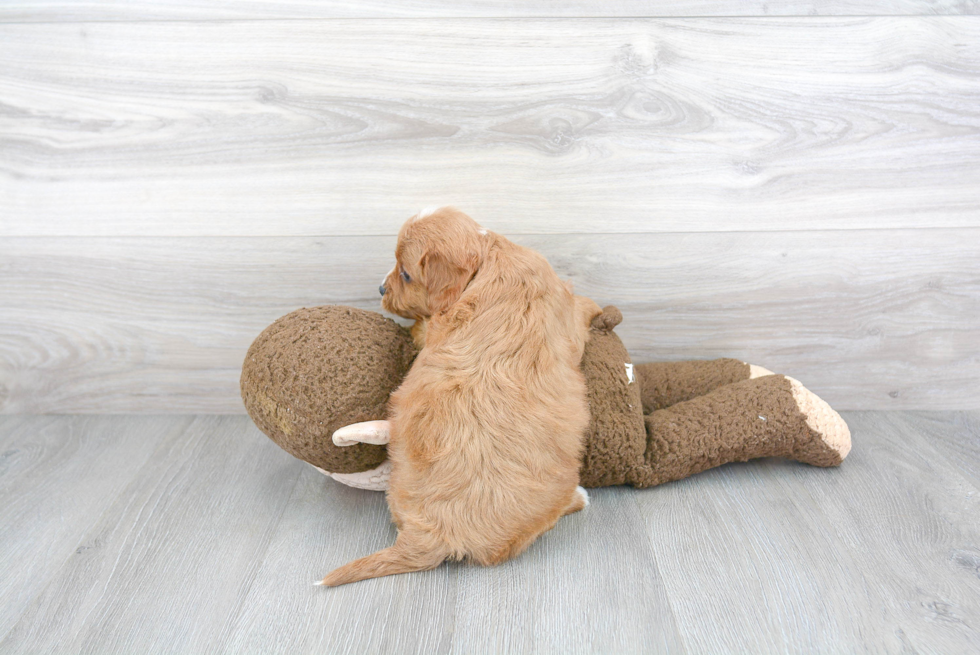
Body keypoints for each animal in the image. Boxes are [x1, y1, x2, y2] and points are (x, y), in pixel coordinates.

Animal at [318, 208, 600, 588]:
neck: (486, 256)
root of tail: (431, 536)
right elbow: (582, 306)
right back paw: (581, 497)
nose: (380, 288)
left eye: (406, 273)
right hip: (550, 499)